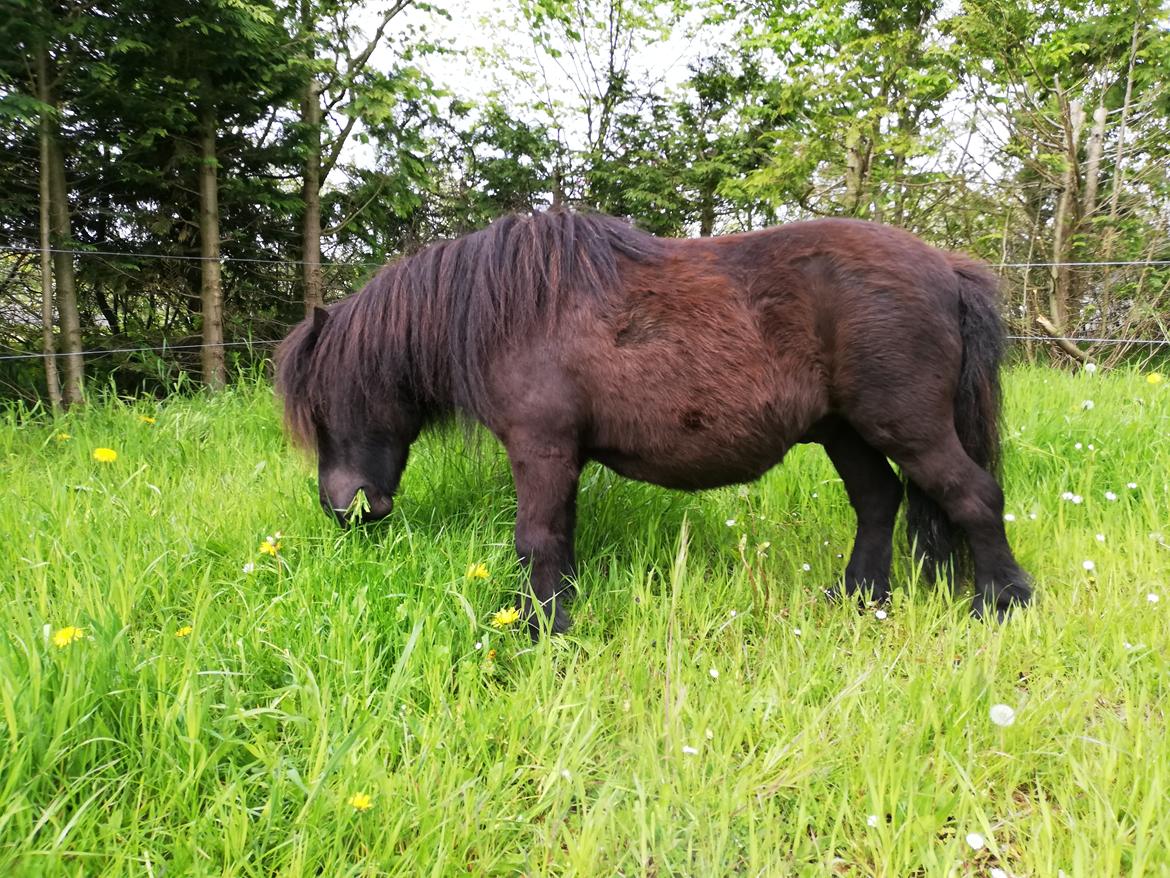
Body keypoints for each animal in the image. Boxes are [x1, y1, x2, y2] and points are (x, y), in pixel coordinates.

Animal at [276, 209, 1034, 636]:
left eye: (327, 405)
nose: (346, 510)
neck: (512, 310)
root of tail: (948, 267)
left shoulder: (540, 449)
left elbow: (534, 540)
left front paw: (539, 630)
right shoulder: (561, 457)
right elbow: (559, 540)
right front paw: (560, 614)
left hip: (908, 427)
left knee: (974, 496)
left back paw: (1003, 603)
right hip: (846, 433)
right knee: (880, 501)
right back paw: (857, 598)